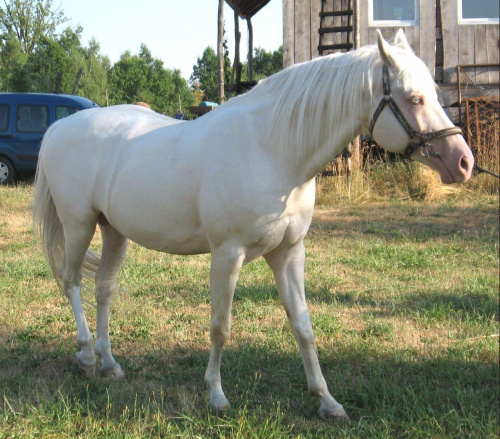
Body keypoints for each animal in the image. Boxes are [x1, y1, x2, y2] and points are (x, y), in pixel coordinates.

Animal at [32, 31, 472, 420]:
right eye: (414, 98)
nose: (463, 161)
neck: (272, 150)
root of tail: (57, 128)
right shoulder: (228, 255)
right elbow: (220, 326)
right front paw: (216, 395)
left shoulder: (288, 253)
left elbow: (304, 327)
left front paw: (327, 402)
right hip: (79, 224)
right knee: (71, 280)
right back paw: (86, 356)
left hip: (114, 231)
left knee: (104, 289)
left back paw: (109, 363)